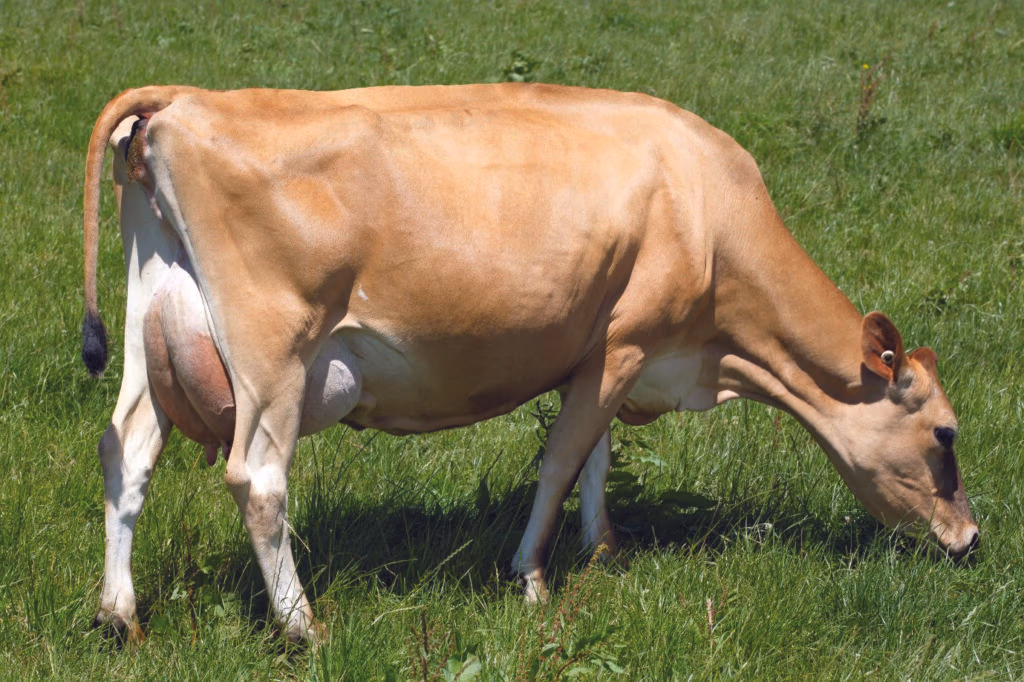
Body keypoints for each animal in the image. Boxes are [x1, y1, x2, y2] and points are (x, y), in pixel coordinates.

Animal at [82, 83, 978, 643]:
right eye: (945, 435)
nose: (970, 539)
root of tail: (183, 99)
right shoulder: (626, 339)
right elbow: (561, 460)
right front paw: (533, 578)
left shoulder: (607, 350)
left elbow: (597, 457)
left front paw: (603, 548)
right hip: (274, 351)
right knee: (258, 478)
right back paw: (303, 626)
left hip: (153, 327)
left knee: (126, 448)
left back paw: (119, 613)